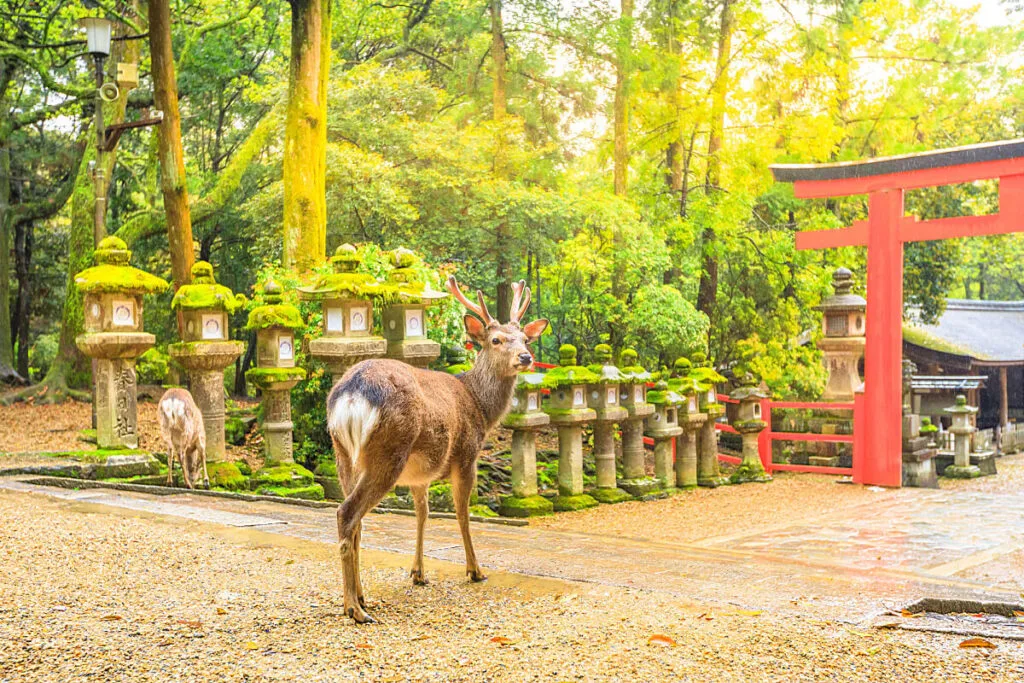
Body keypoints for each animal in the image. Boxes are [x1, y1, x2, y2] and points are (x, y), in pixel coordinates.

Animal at [326, 276, 548, 623]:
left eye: (525, 338)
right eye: (496, 340)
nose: (525, 357)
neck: (480, 406)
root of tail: (351, 395)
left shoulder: (420, 475)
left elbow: (423, 513)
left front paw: (418, 573)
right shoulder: (467, 455)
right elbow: (462, 513)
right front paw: (475, 570)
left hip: (343, 453)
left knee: (355, 520)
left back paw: (361, 597)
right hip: (389, 451)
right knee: (347, 513)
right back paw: (354, 608)